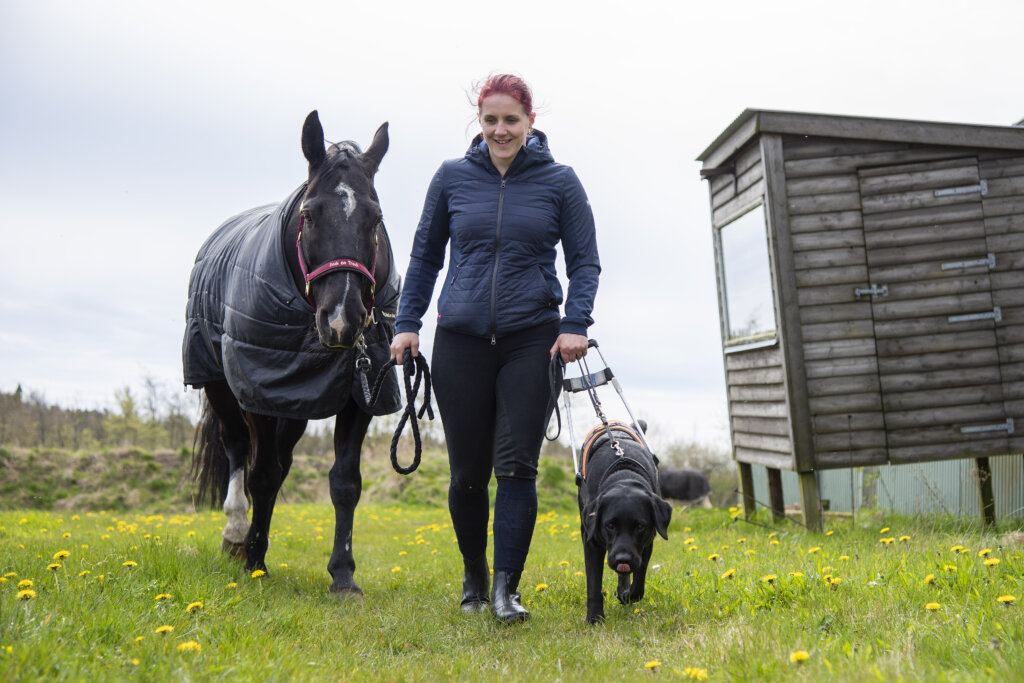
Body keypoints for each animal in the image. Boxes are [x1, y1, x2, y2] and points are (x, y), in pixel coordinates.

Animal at [184, 109, 399, 593]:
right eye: (310, 214)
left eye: (376, 217)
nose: (342, 319)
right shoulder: (259, 388)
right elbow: (260, 475)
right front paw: (254, 562)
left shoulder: (360, 391)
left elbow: (345, 483)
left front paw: (343, 576)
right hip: (220, 384)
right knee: (238, 448)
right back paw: (236, 534)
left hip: (296, 404)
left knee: (279, 463)